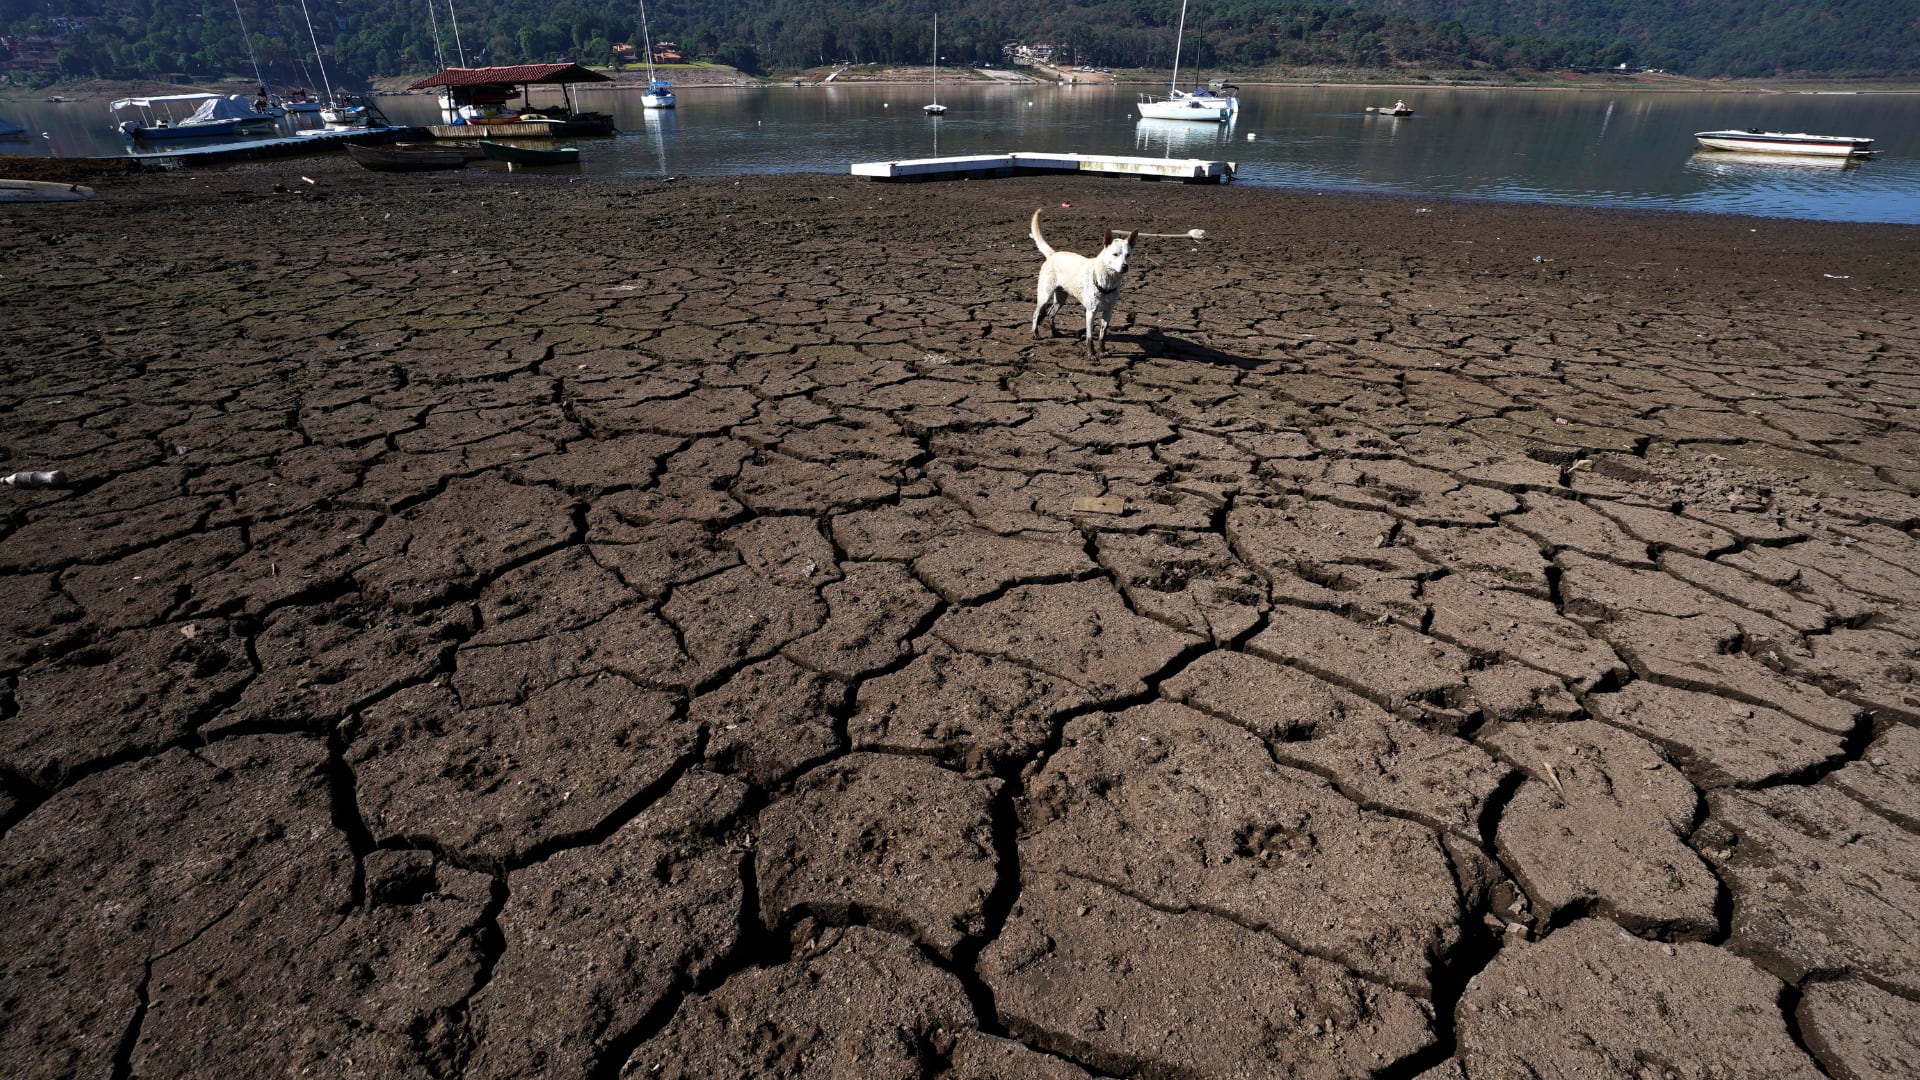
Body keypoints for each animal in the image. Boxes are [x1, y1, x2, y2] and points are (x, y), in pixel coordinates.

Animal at [1029, 209, 1128, 357]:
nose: (1125, 266)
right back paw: (1035, 333)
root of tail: (1053, 254)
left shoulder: (1108, 312)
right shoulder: (1090, 312)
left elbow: (1102, 334)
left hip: (1061, 298)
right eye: (1115, 254)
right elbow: (1089, 336)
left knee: (1050, 313)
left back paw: (1055, 332)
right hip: (1044, 295)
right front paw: (1091, 354)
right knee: (1036, 313)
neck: (1107, 281)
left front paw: (1102, 350)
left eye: (1128, 255)